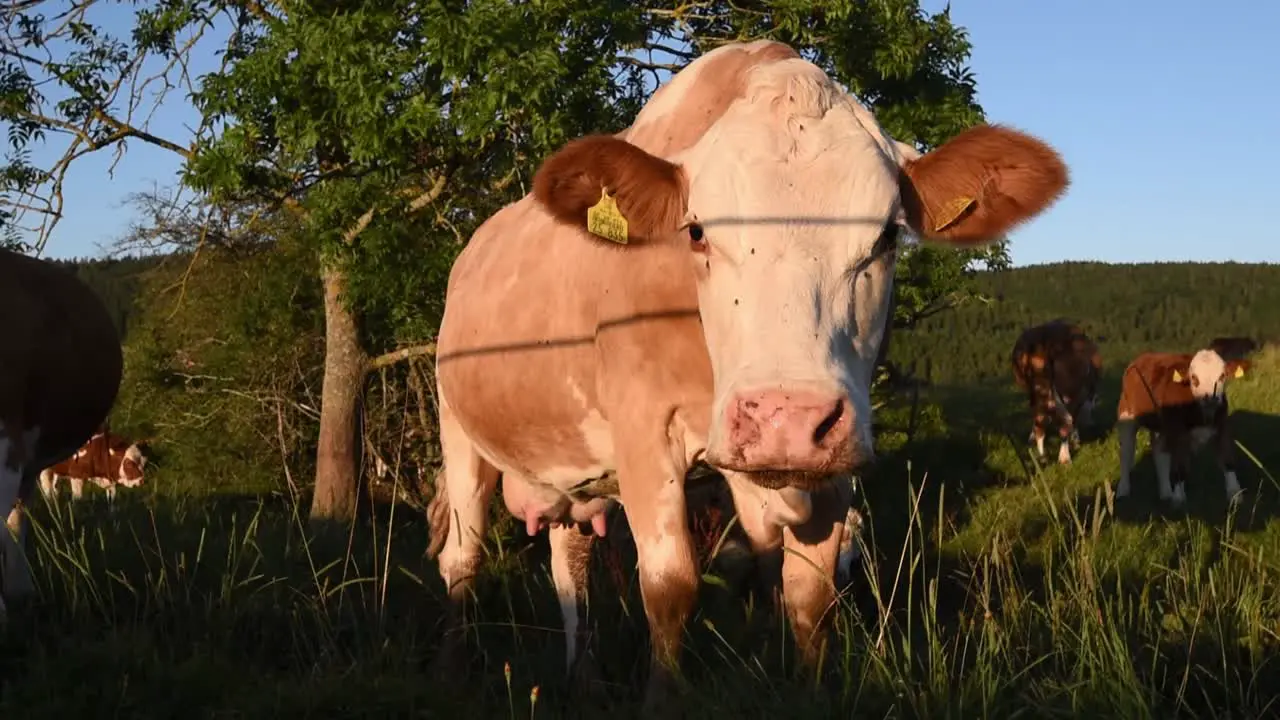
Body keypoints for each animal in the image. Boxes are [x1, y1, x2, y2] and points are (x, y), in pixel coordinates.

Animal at [422, 40, 1070, 712]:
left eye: (889, 237)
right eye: (696, 231)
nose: (789, 417)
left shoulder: (828, 458)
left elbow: (808, 589)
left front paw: (809, 692)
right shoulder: (644, 428)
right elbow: (671, 584)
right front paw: (663, 701)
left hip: (574, 475)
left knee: (569, 564)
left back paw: (583, 679)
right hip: (459, 429)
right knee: (462, 558)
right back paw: (450, 674)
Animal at [1013, 315, 1105, 461]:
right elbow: (1072, 419)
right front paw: (1075, 441)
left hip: (1038, 389)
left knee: (1039, 419)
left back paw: (1042, 455)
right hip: (1068, 392)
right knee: (1063, 422)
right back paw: (1064, 458)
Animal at [1121, 348, 1249, 504]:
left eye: (1222, 375)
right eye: (1193, 377)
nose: (1210, 398)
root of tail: (1142, 357)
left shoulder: (1222, 426)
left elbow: (1227, 460)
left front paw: (1235, 494)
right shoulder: (1178, 433)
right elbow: (1179, 467)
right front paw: (1178, 498)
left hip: (1160, 427)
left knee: (1160, 454)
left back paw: (1166, 493)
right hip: (1126, 416)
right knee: (1126, 453)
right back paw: (1123, 491)